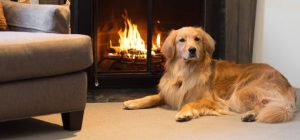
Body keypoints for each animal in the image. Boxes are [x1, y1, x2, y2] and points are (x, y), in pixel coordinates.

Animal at [123, 26, 296, 123]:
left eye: (197, 39)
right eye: (181, 40)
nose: (192, 50)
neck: (185, 72)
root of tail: (288, 84)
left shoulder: (210, 99)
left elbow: (189, 104)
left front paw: (184, 114)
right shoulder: (170, 92)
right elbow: (152, 97)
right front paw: (133, 102)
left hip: (241, 93)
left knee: (265, 105)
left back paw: (251, 114)